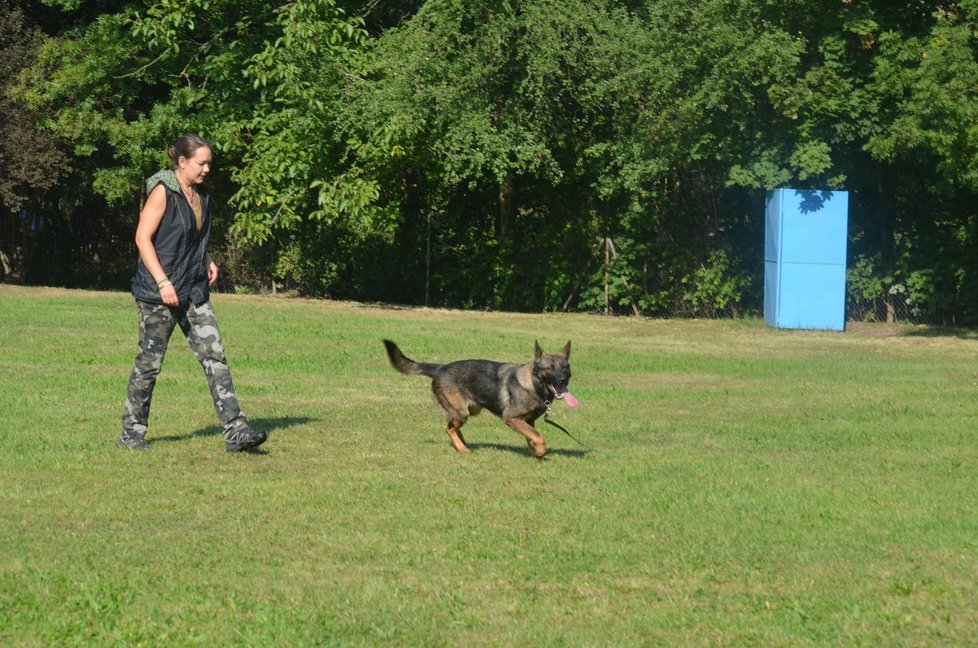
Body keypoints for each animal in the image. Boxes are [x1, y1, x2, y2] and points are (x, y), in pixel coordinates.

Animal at [384, 340, 580, 456]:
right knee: (448, 429)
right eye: (549, 368)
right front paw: (540, 452)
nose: (563, 380)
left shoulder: (527, 421)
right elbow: (538, 436)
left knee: (452, 427)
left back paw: (461, 443)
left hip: (468, 411)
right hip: (461, 412)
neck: (533, 384)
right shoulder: (511, 418)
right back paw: (462, 448)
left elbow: (531, 435)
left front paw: (534, 451)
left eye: (565, 367)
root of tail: (439, 368)